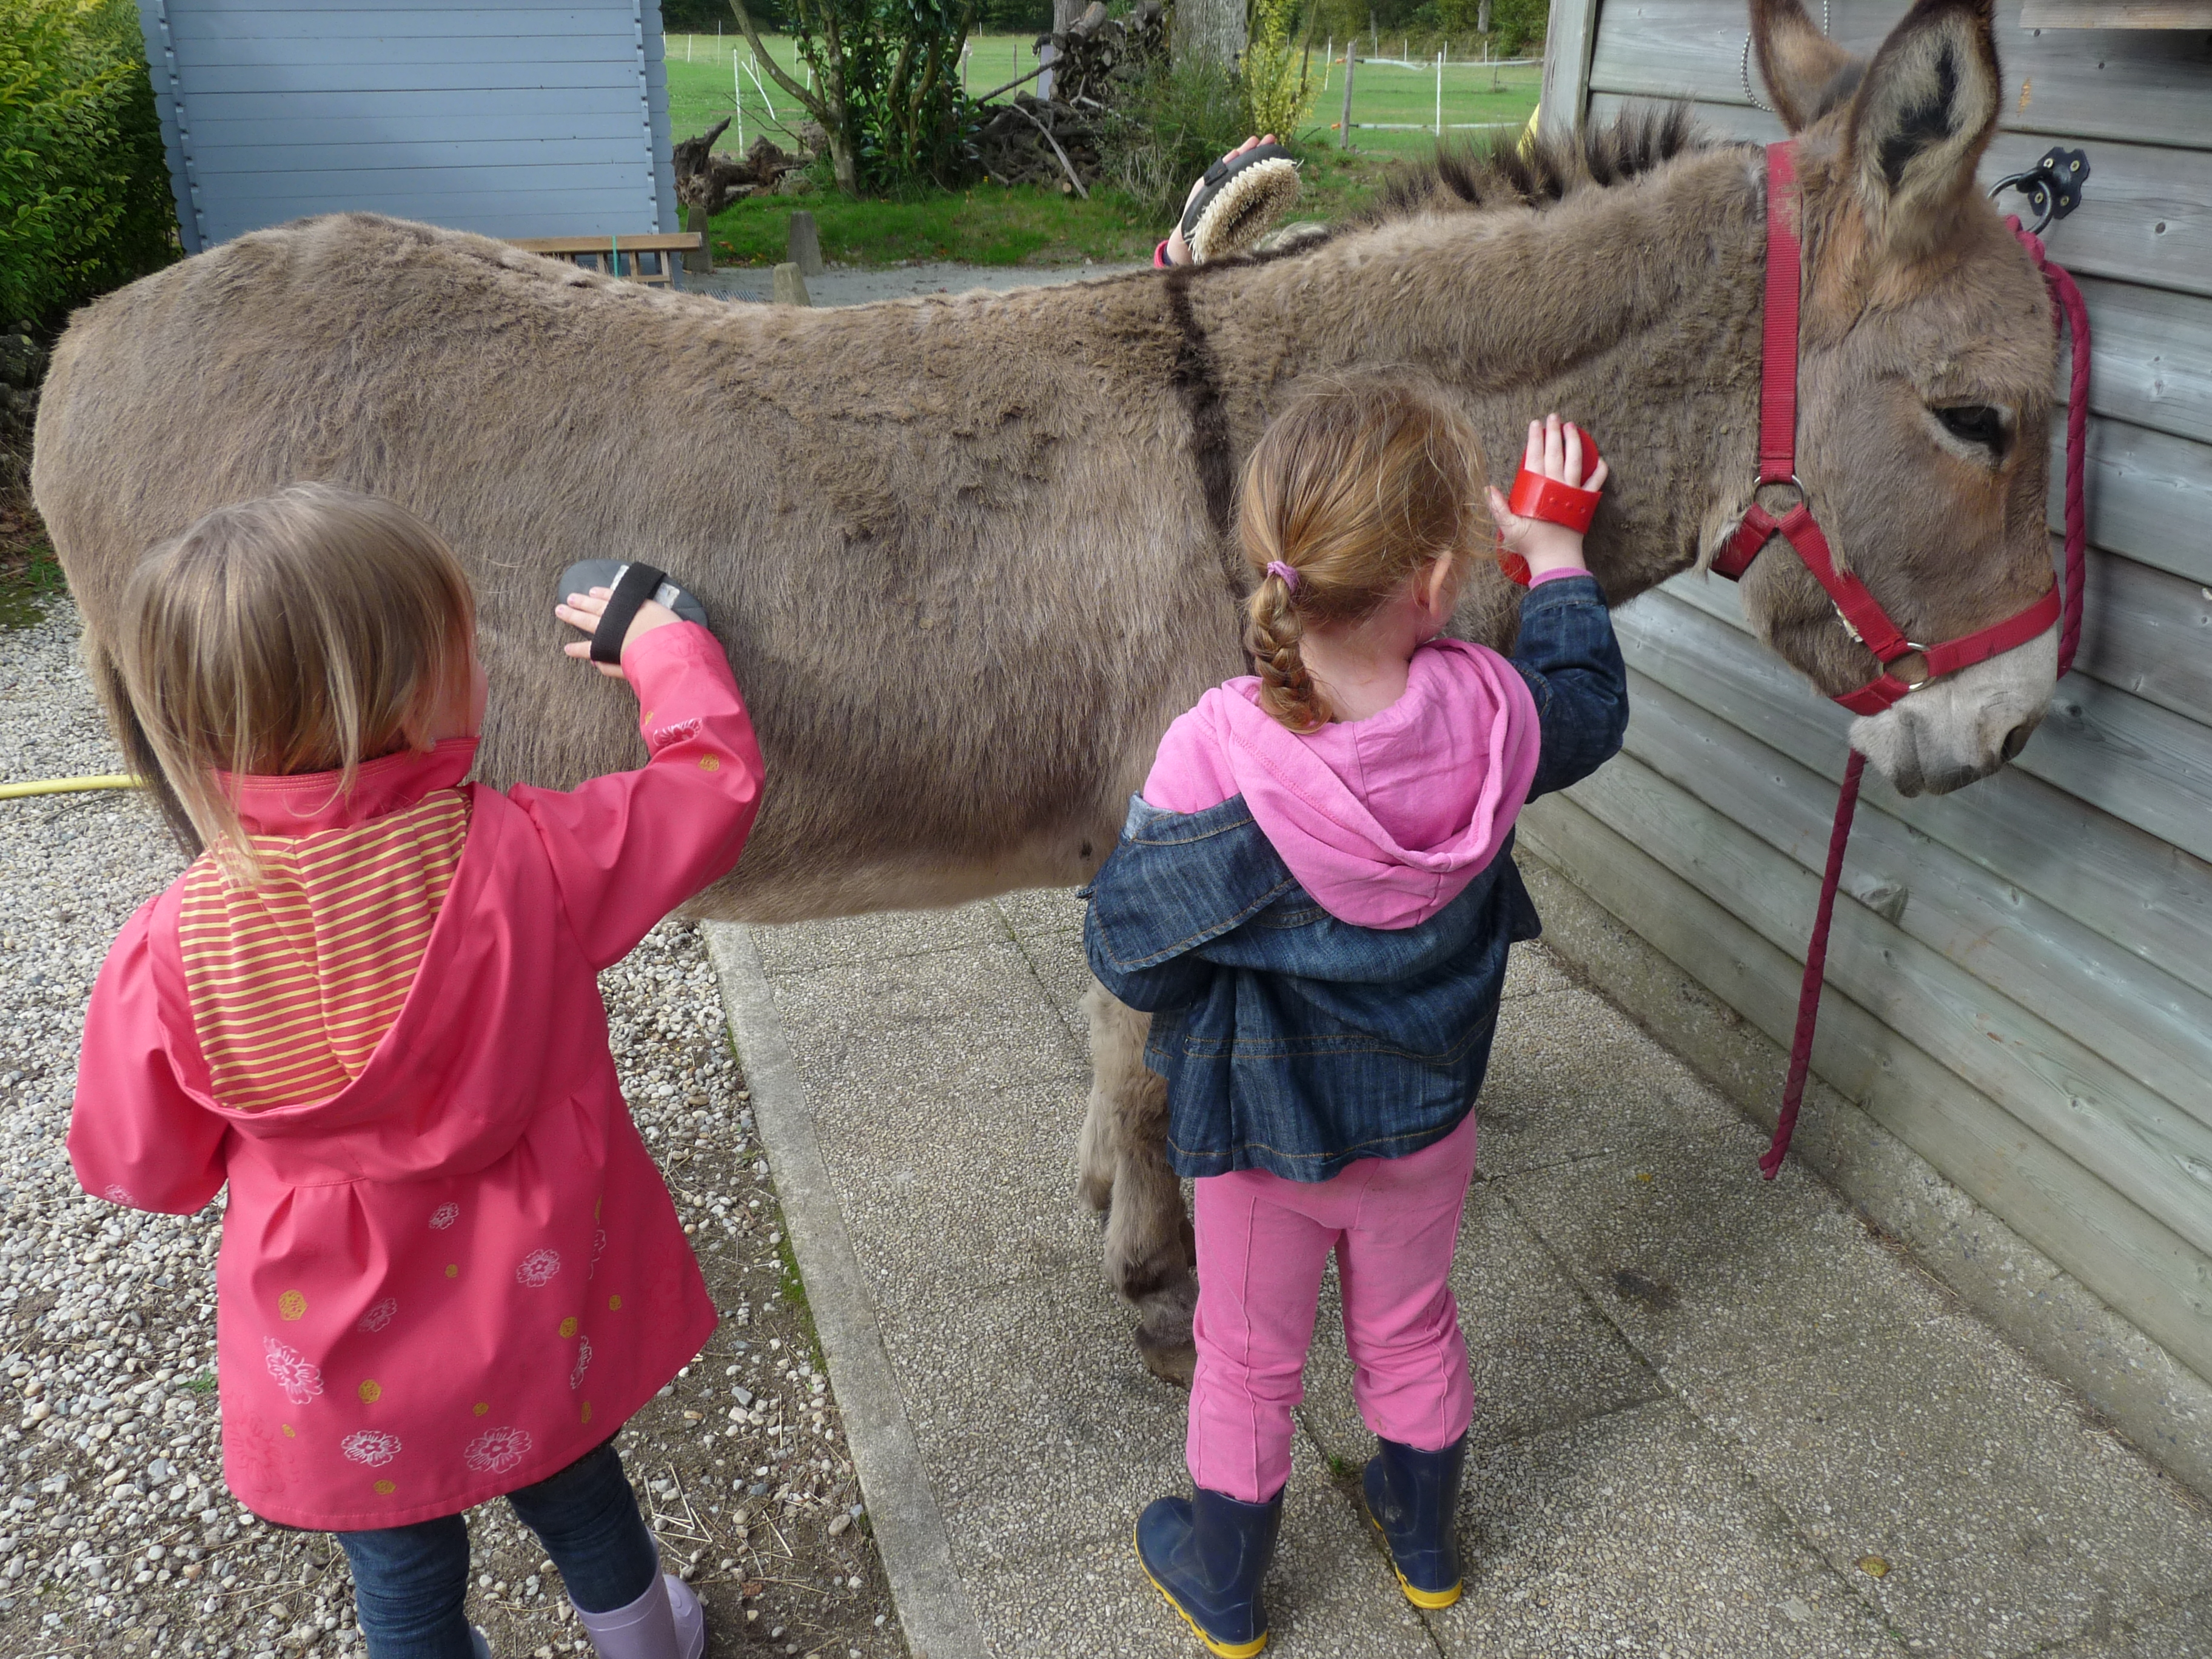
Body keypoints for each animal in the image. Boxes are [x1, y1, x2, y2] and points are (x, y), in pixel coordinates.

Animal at [34, 0, 2059, 1382]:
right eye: (1982, 422)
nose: (2019, 730)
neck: (1276, 453)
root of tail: (90, 341)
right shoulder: (1196, 820)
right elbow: (1158, 1070)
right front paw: (1163, 1292)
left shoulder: (1129, 837)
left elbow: (1114, 1042)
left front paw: (1109, 1218)